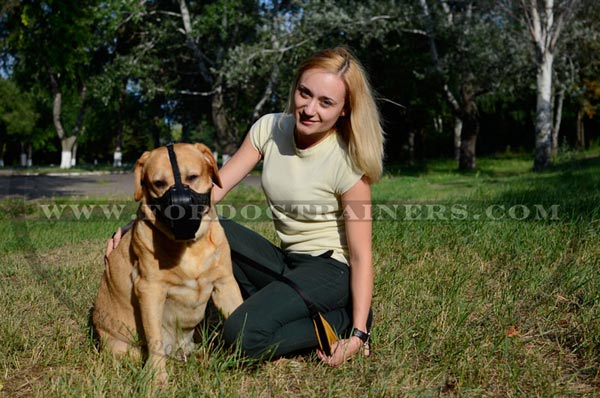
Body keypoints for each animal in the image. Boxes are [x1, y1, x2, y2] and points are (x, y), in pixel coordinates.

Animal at [92, 143, 243, 386]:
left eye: (192, 177)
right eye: (159, 183)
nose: (179, 207)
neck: (190, 246)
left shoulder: (225, 283)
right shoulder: (150, 290)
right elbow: (155, 340)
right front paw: (156, 378)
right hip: (123, 349)